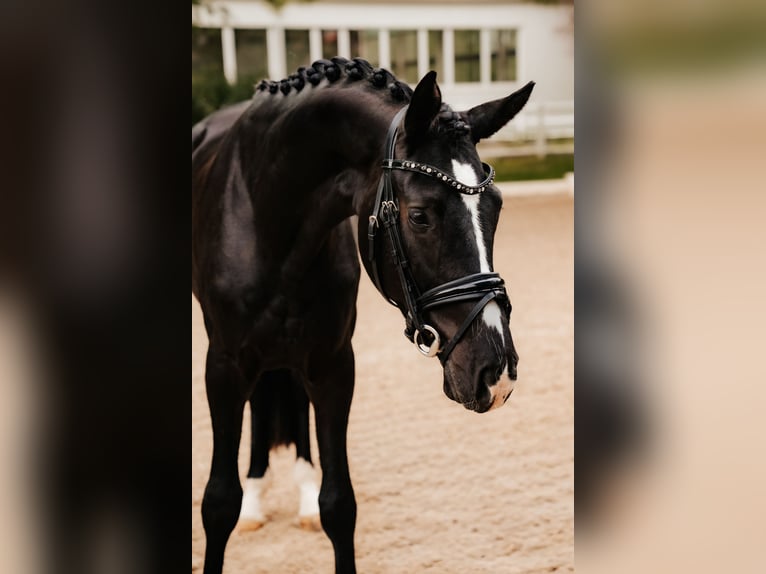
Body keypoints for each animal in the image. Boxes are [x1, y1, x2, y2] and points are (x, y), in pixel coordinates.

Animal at [192, 56, 533, 574]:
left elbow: (339, 505)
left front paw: (314, 500)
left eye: (494, 208)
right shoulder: (224, 367)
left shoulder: (332, 366)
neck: (264, 214)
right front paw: (242, 502)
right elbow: (218, 503)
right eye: (419, 215)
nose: (497, 373)